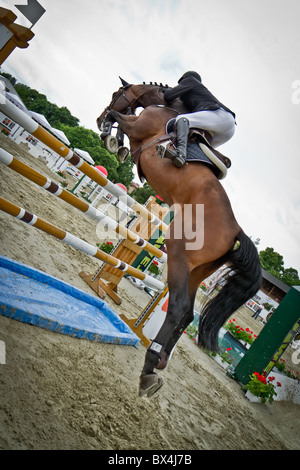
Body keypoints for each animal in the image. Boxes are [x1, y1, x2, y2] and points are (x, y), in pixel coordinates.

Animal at [97, 80, 262, 396]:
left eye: (115, 94)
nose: (98, 119)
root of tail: (235, 231)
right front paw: (115, 141)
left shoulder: (138, 125)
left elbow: (120, 118)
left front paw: (110, 135)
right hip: (198, 270)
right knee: (187, 315)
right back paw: (161, 359)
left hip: (178, 255)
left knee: (179, 307)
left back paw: (150, 368)